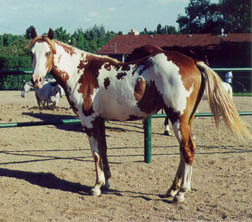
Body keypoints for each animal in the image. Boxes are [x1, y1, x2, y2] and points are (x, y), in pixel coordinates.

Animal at [28, 28, 252, 202]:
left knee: (188, 149)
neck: (82, 71)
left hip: (177, 117)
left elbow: (96, 154)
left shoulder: (89, 121)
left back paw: (181, 193)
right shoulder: (100, 120)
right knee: (184, 150)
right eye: (32, 53)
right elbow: (104, 151)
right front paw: (107, 183)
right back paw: (171, 190)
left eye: (48, 52)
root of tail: (193, 62)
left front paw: (96, 187)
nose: (36, 80)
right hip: (185, 120)